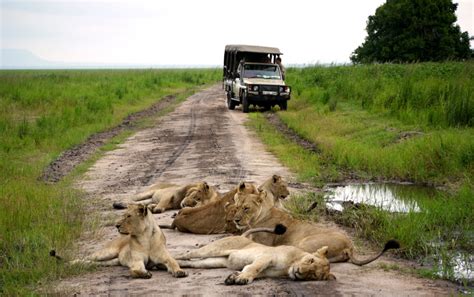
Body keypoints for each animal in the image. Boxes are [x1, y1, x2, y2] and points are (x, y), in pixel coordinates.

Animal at [50, 204, 187, 278]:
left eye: (128, 216)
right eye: (124, 215)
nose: (116, 225)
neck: (145, 236)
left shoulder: (164, 258)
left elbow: (173, 263)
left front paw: (179, 271)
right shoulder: (137, 260)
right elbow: (135, 270)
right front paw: (144, 273)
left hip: (109, 261)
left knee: (90, 262)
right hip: (105, 253)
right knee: (84, 258)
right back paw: (67, 263)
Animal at [174, 223, 334, 284]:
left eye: (313, 275)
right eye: (311, 260)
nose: (299, 271)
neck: (289, 266)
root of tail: (243, 235)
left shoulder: (266, 271)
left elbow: (251, 270)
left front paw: (235, 277)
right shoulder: (267, 257)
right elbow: (254, 268)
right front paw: (242, 279)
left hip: (215, 262)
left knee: (192, 263)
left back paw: (179, 268)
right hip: (213, 249)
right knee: (185, 255)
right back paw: (172, 264)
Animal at [231, 191, 398, 264]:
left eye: (246, 208)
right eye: (237, 207)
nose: (236, 219)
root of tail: (350, 246)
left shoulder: (263, 242)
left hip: (305, 242)